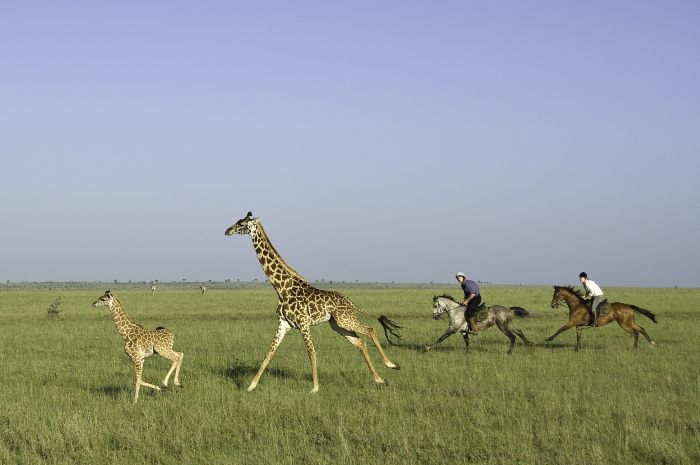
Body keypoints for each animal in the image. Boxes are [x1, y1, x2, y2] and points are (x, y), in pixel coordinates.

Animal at [224, 211, 400, 392]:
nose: (227, 231)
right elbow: (269, 352)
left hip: (345, 320)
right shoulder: (283, 324)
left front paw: (315, 387)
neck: (282, 288)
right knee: (360, 343)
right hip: (337, 325)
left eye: (242, 224)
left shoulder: (303, 323)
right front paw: (251, 386)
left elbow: (311, 352)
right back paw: (379, 379)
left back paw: (391, 364)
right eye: (238, 221)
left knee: (370, 330)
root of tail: (349, 301)